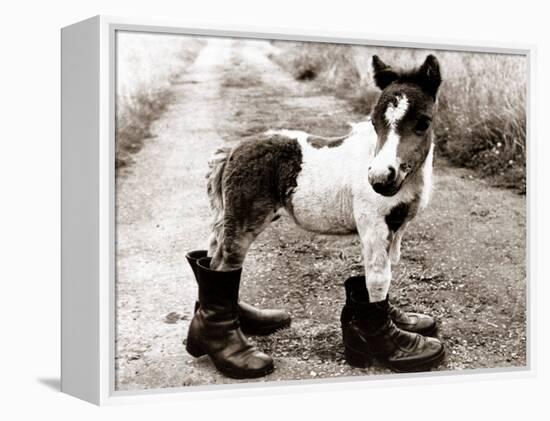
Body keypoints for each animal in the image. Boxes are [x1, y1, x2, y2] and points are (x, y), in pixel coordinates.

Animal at [205, 55, 442, 304]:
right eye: (374, 122)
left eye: (424, 123)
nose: (380, 178)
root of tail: (232, 150)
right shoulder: (373, 226)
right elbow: (378, 282)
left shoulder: (397, 229)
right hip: (241, 225)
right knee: (226, 263)